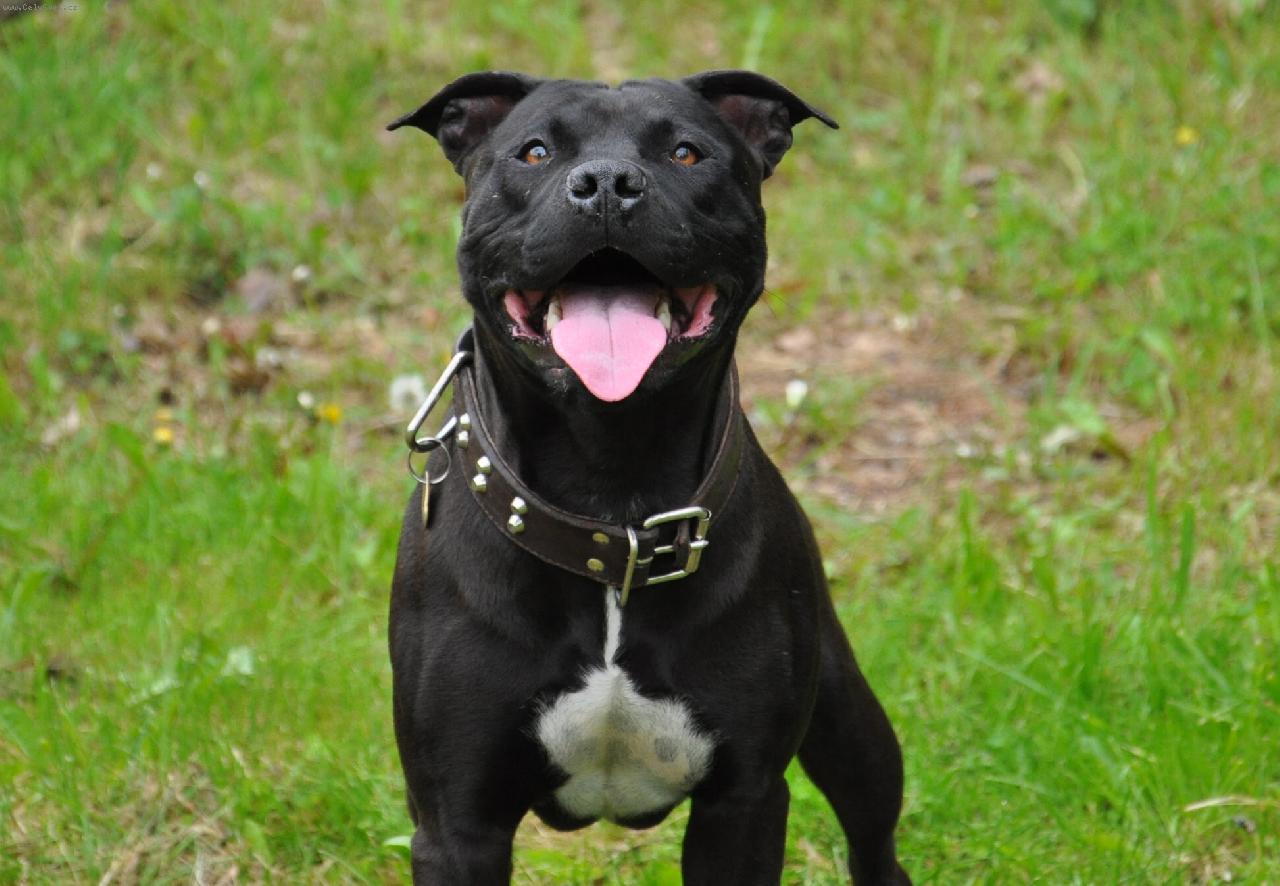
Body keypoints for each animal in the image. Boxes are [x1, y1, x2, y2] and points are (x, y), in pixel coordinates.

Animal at [387, 70, 910, 885]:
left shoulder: (744, 803)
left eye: (687, 153)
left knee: (873, 833)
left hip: (849, 722)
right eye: (534, 152)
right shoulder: (455, 824)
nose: (607, 182)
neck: (612, 498)